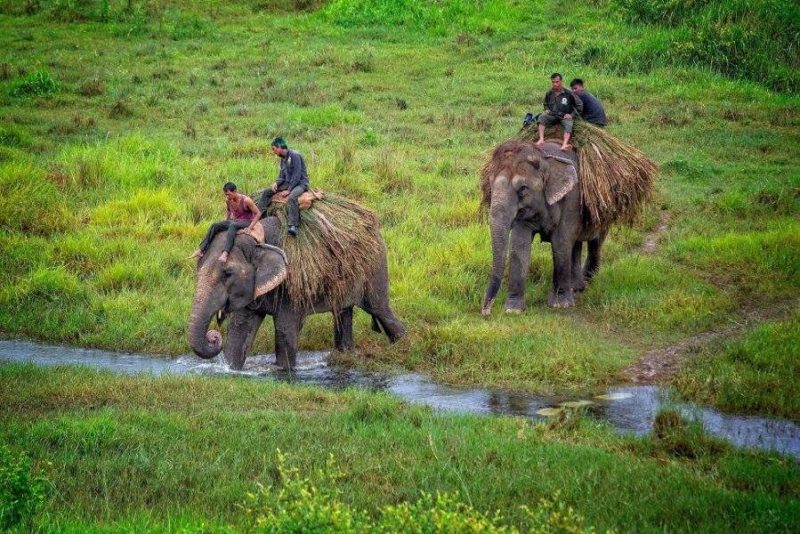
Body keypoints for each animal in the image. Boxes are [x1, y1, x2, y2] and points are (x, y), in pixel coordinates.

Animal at [188, 216, 406, 370]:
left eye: (227, 273)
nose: (213, 336)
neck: (259, 240)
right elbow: (240, 329)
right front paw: (232, 370)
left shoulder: (292, 281)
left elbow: (285, 329)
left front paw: (284, 371)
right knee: (343, 313)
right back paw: (344, 356)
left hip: (375, 266)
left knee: (379, 309)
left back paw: (403, 347)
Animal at [482, 140, 608, 314]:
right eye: (490, 185)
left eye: (523, 189)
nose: (486, 311)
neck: (543, 157)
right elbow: (519, 245)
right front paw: (513, 310)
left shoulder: (572, 198)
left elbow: (560, 243)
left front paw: (560, 305)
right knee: (575, 245)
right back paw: (576, 288)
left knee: (595, 241)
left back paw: (587, 281)